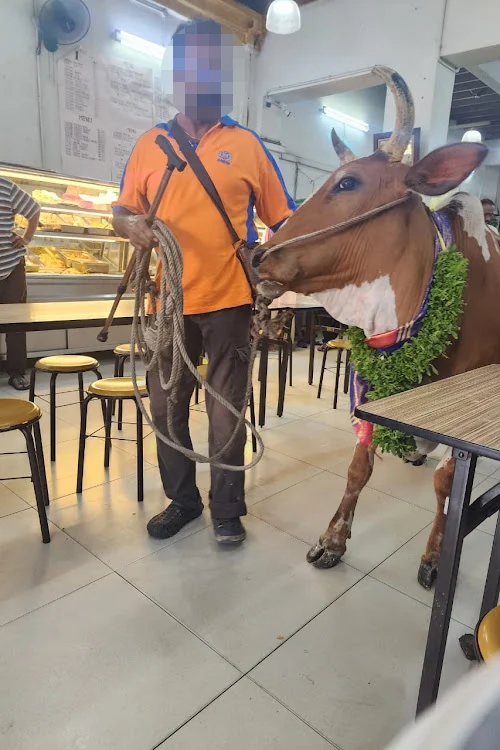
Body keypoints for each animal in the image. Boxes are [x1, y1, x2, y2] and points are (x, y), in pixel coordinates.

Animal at [252, 66, 500, 592]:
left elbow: (447, 486)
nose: (255, 253)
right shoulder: (368, 389)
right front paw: (332, 540)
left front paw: (433, 557)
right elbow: (357, 468)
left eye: (348, 182)